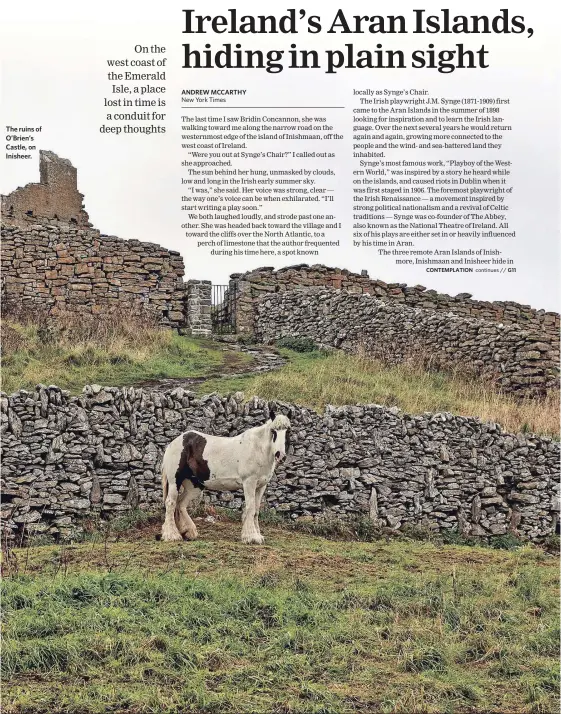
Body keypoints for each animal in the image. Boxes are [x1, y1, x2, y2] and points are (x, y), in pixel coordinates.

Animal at [158, 408, 288, 544]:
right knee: (171, 503)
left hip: (193, 486)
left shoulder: (261, 486)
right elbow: (250, 508)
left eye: (287, 431)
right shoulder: (249, 482)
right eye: (273, 431)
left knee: (181, 504)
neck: (257, 449)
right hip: (175, 481)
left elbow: (256, 510)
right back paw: (171, 535)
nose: (280, 455)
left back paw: (188, 532)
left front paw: (257, 535)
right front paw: (251, 537)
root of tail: (173, 443)